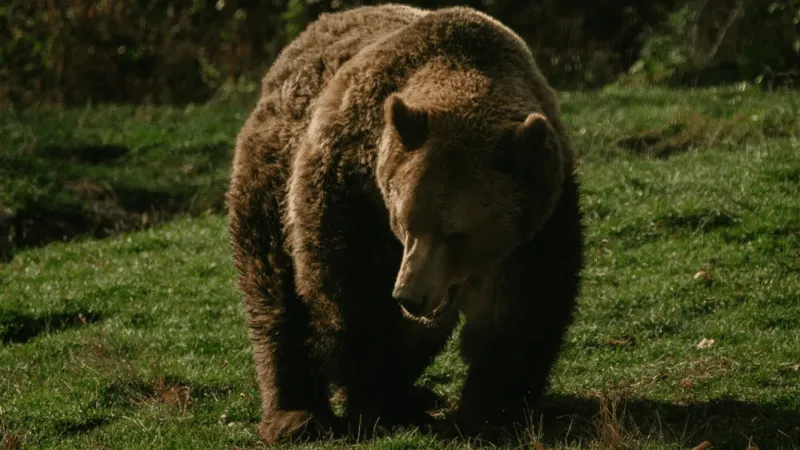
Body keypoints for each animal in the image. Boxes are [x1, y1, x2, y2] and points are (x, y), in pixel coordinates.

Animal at [226, 3, 584, 445]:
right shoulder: (354, 194)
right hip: (271, 183)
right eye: (405, 221)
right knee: (275, 292)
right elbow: (354, 305)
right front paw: (374, 405)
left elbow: (520, 318)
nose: (410, 295)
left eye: (458, 234)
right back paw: (298, 415)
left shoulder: (535, 227)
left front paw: (488, 414)